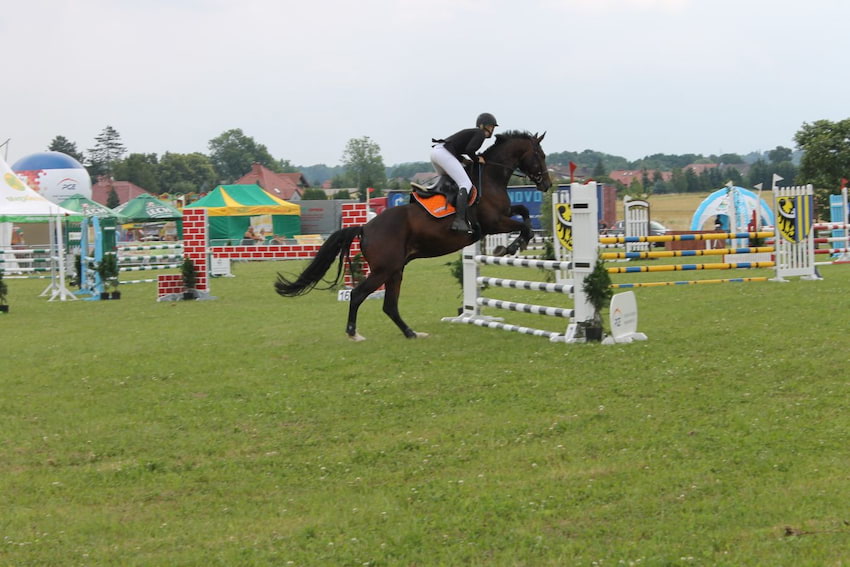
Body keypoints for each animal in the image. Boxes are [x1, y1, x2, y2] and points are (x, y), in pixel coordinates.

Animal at [272, 131, 548, 340]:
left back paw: (411, 333)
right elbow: (523, 226)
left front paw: (515, 245)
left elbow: (524, 213)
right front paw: (510, 247)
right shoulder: (493, 222)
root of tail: (365, 227)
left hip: (396, 269)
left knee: (389, 305)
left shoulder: (503, 215)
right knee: (359, 294)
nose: (546, 184)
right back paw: (353, 333)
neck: (490, 177)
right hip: (384, 269)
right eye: (540, 155)